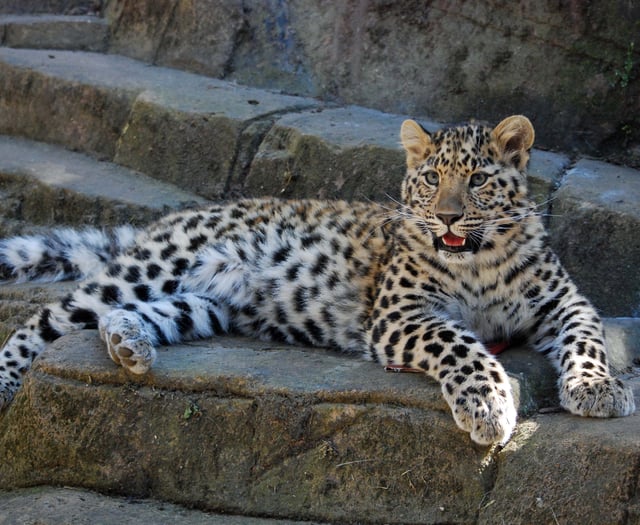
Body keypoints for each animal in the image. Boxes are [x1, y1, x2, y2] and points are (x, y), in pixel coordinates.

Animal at [0, 115, 635, 445]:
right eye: (432, 179)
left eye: (478, 179)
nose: (449, 217)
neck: (476, 261)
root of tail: (173, 219)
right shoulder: (399, 314)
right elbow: (461, 344)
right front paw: (488, 405)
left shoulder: (564, 301)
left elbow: (588, 337)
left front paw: (598, 388)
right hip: (155, 265)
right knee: (45, 319)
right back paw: (10, 382)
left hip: (207, 303)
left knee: (133, 314)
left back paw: (128, 344)